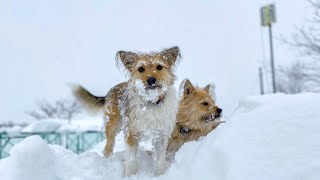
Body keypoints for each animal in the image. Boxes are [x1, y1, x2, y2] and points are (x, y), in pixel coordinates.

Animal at [73, 46, 181, 176]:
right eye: (141, 69)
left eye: (159, 67)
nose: (151, 80)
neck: (150, 103)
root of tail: (110, 91)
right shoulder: (131, 132)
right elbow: (131, 159)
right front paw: (131, 175)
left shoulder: (161, 135)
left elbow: (160, 159)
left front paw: (160, 174)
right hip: (112, 125)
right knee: (108, 146)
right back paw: (107, 160)